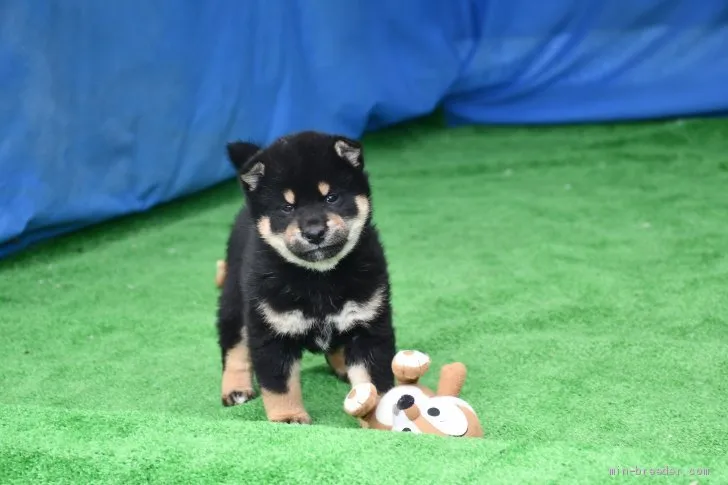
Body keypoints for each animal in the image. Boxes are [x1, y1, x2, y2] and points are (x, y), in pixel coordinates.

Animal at [218, 130, 398, 422]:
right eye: (287, 208)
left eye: (331, 198)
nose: (314, 232)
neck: (318, 279)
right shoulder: (271, 331)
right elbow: (280, 385)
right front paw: (288, 417)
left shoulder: (367, 323)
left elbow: (373, 381)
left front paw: (377, 417)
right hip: (234, 300)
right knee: (234, 346)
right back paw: (235, 389)